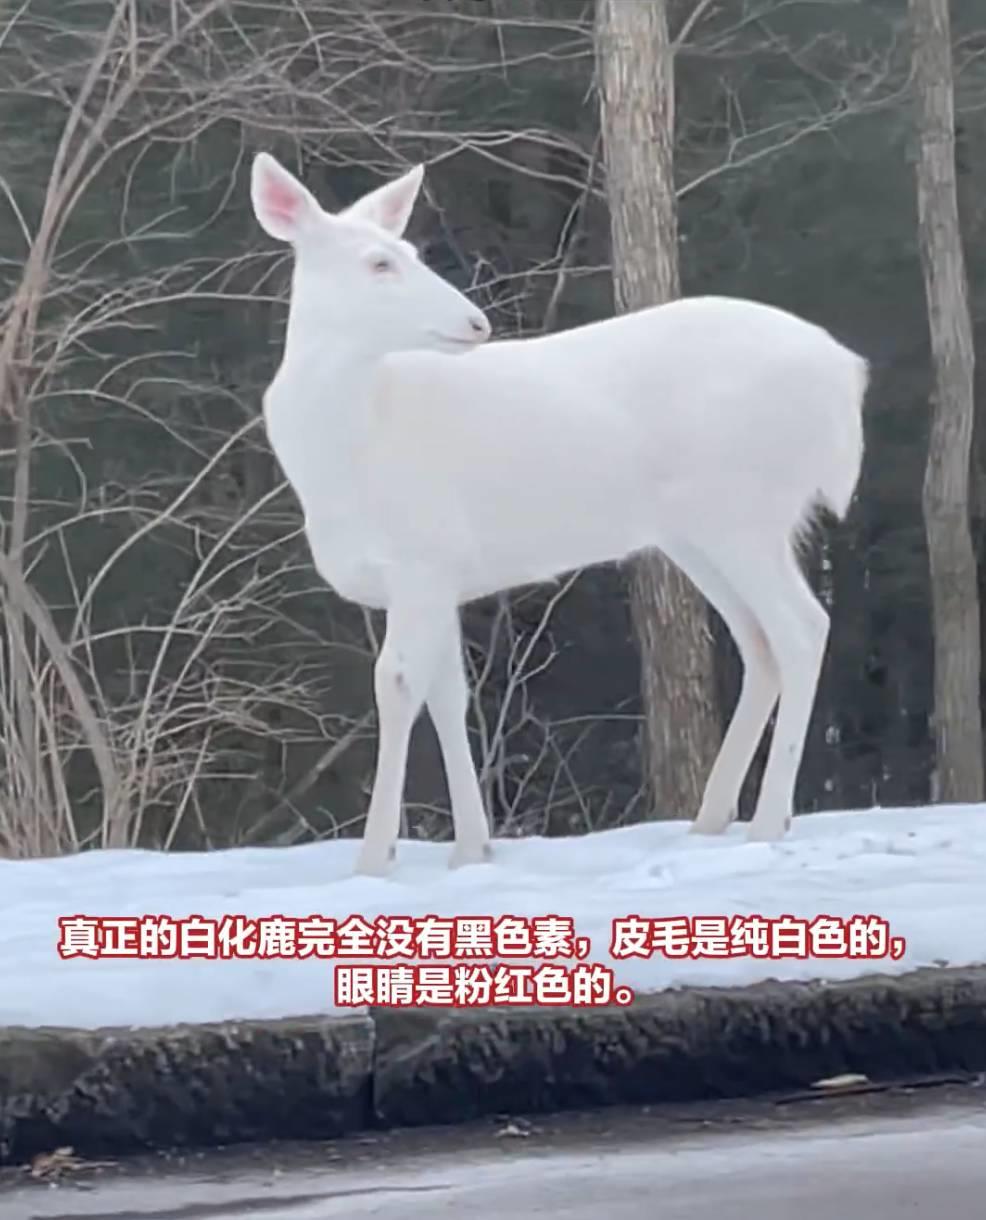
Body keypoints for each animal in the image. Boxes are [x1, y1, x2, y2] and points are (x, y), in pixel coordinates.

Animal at [249, 151, 868, 878]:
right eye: (379, 262)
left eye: (411, 252)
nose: (476, 323)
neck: (354, 441)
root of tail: (846, 375)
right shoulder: (445, 572)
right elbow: (449, 693)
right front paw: (471, 849)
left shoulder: (421, 556)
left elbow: (397, 686)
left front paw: (374, 861)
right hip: (700, 531)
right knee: (761, 643)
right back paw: (710, 821)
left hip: (745, 507)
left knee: (802, 628)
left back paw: (767, 823)